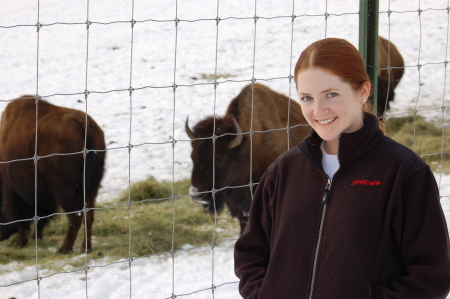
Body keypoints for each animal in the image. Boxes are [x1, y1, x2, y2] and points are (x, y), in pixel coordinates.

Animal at [0, 95, 106, 253]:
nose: (1, 237)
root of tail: (81, 122)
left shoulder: (12, 192)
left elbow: (20, 220)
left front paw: (20, 243)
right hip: (91, 188)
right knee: (88, 215)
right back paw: (85, 248)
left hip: (66, 193)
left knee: (75, 217)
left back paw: (64, 249)